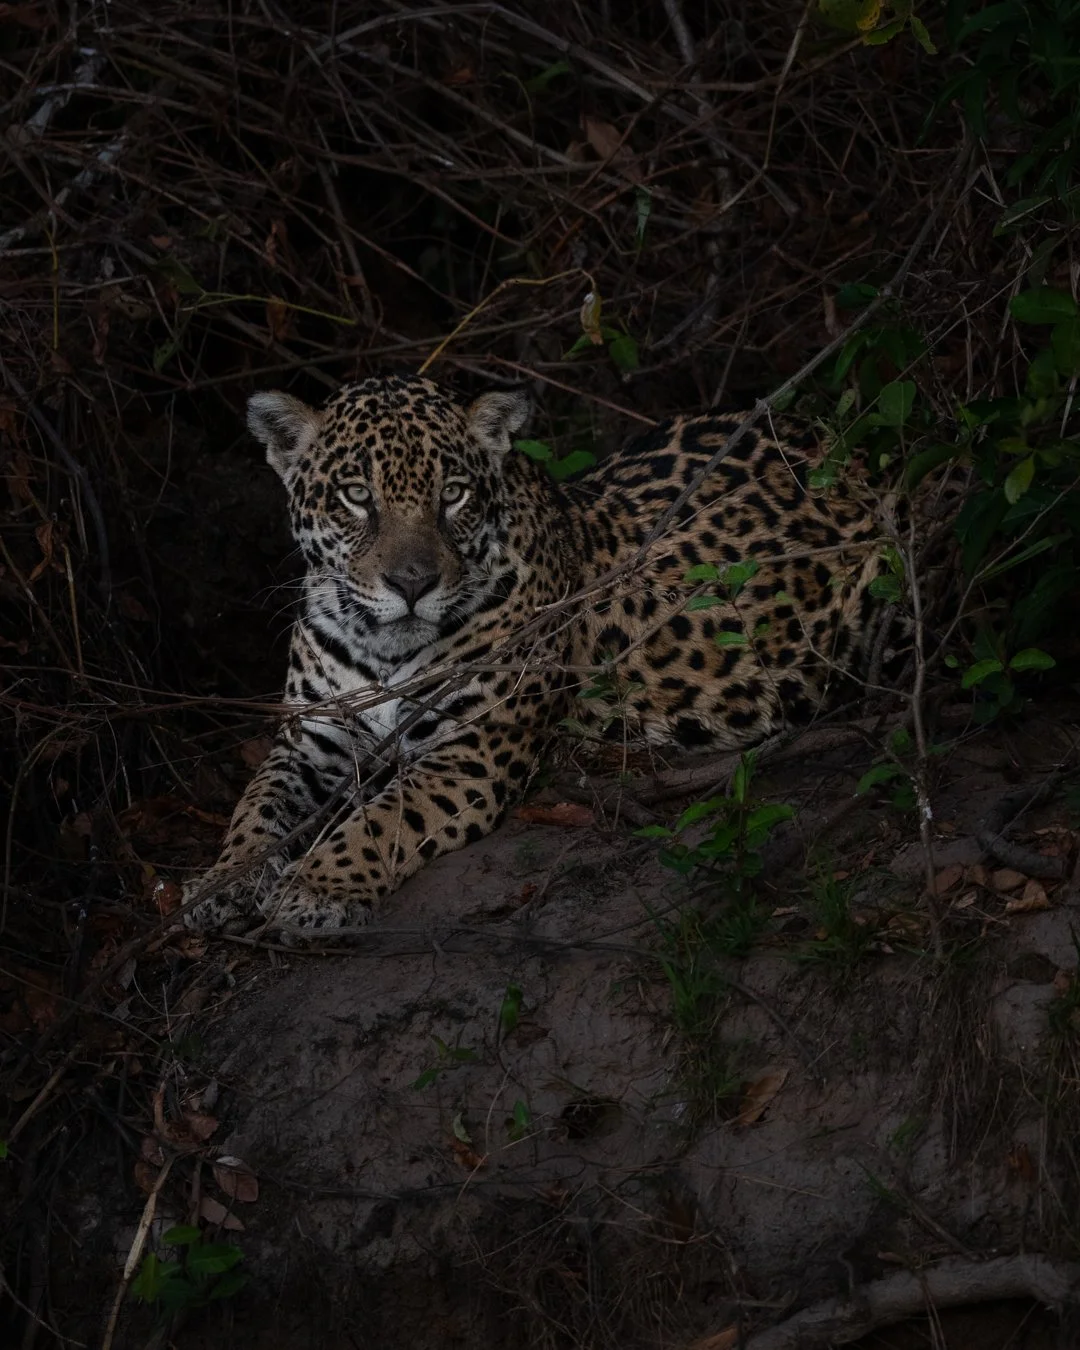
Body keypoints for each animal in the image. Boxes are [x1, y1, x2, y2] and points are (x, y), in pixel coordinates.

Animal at [183, 373, 885, 937]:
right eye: (357, 495)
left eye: (454, 495)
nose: (412, 584)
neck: (381, 645)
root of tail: (841, 441)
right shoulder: (309, 741)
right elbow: (255, 807)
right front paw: (221, 883)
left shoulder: (467, 754)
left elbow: (378, 822)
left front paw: (315, 887)